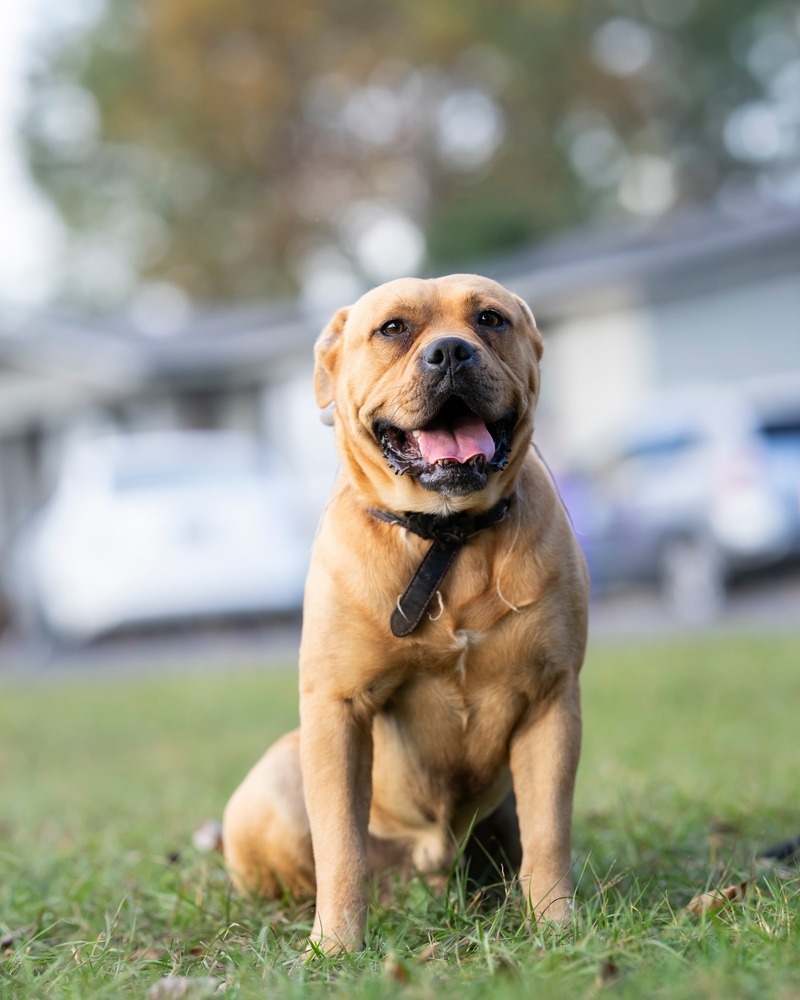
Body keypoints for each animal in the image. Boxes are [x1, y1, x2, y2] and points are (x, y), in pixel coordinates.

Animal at [222, 274, 592, 952]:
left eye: (490, 319)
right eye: (393, 328)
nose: (450, 352)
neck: (448, 537)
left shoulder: (551, 700)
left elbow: (549, 829)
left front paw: (556, 923)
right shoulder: (337, 711)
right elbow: (339, 845)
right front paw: (336, 946)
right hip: (278, 776)